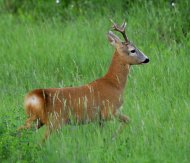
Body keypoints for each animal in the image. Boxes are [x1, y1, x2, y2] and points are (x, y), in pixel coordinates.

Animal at [17, 19, 148, 141]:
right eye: (132, 50)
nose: (147, 59)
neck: (114, 84)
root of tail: (33, 97)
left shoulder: (99, 119)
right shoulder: (109, 111)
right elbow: (128, 120)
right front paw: (113, 137)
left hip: (37, 119)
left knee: (19, 130)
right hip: (55, 120)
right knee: (41, 140)